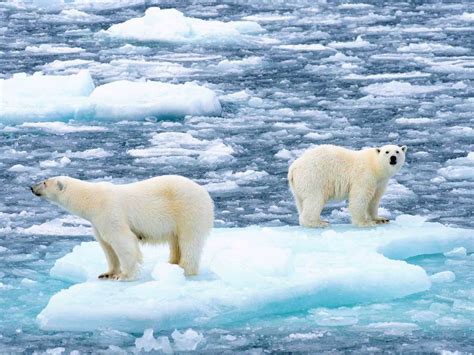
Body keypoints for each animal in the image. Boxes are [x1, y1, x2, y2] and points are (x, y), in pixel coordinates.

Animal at [30, 175, 214, 280]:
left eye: (44, 182)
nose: (31, 187)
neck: (91, 199)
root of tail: (205, 194)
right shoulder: (97, 222)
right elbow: (107, 246)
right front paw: (107, 274)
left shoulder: (109, 212)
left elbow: (122, 241)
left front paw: (124, 276)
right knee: (175, 242)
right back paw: (171, 264)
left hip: (188, 210)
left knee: (189, 241)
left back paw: (185, 269)